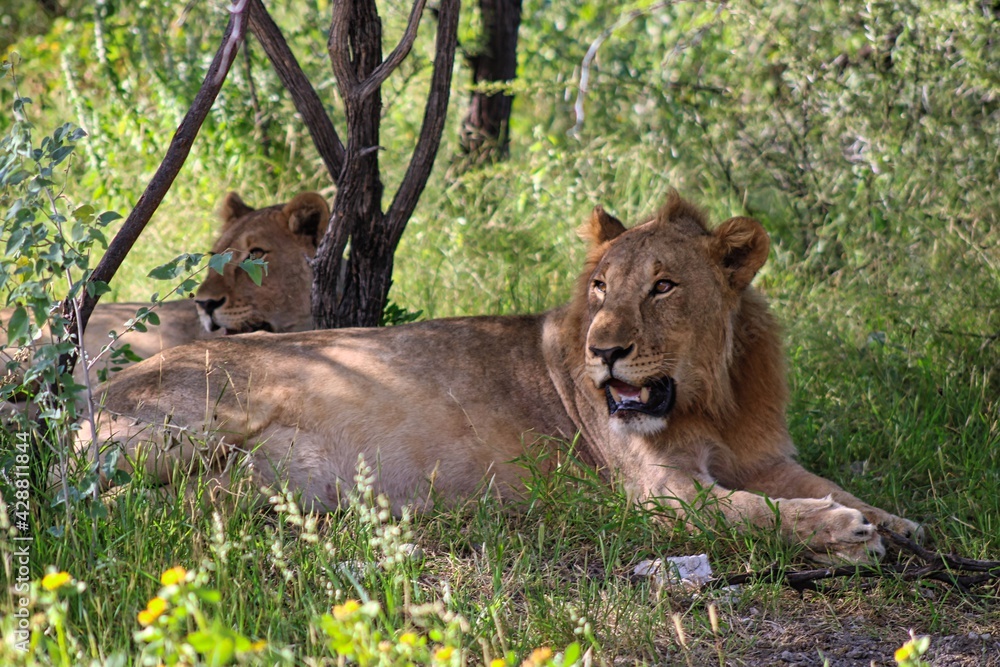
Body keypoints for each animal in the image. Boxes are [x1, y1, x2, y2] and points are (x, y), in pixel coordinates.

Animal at [81, 193, 919, 563]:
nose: (604, 352)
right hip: (181, 431)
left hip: (239, 482)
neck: (713, 397)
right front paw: (846, 533)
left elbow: (827, 483)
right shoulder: (658, 495)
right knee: (108, 501)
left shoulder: (767, 455)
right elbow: (756, 512)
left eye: (663, 287)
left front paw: (899, 522)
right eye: (600, 289)